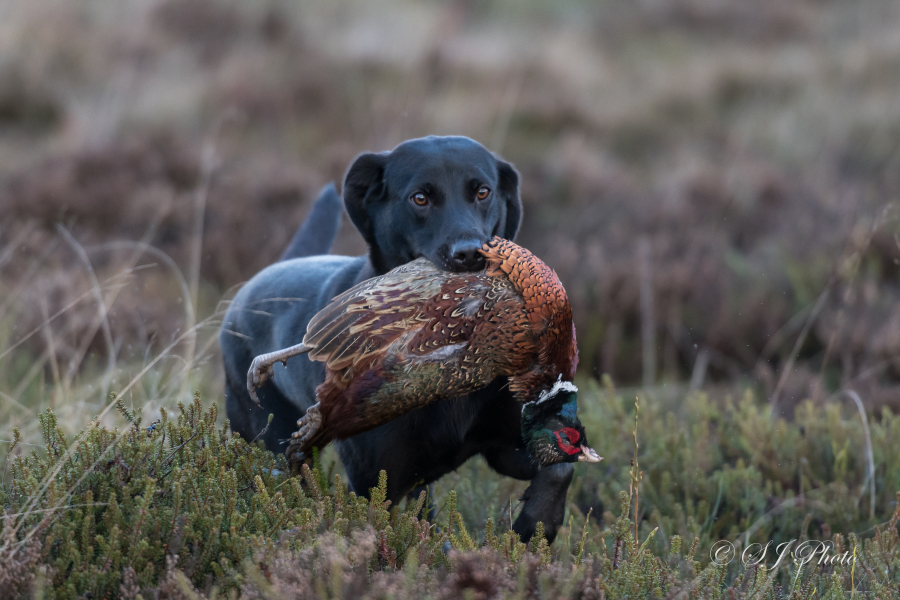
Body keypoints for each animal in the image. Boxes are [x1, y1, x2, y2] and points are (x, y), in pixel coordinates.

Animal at [224, 136, 572, 544]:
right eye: (419, 198)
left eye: (483, 192)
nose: (470, 253)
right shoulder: (378, 480)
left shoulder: (507, 445)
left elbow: (560, 466)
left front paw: (533, 527)